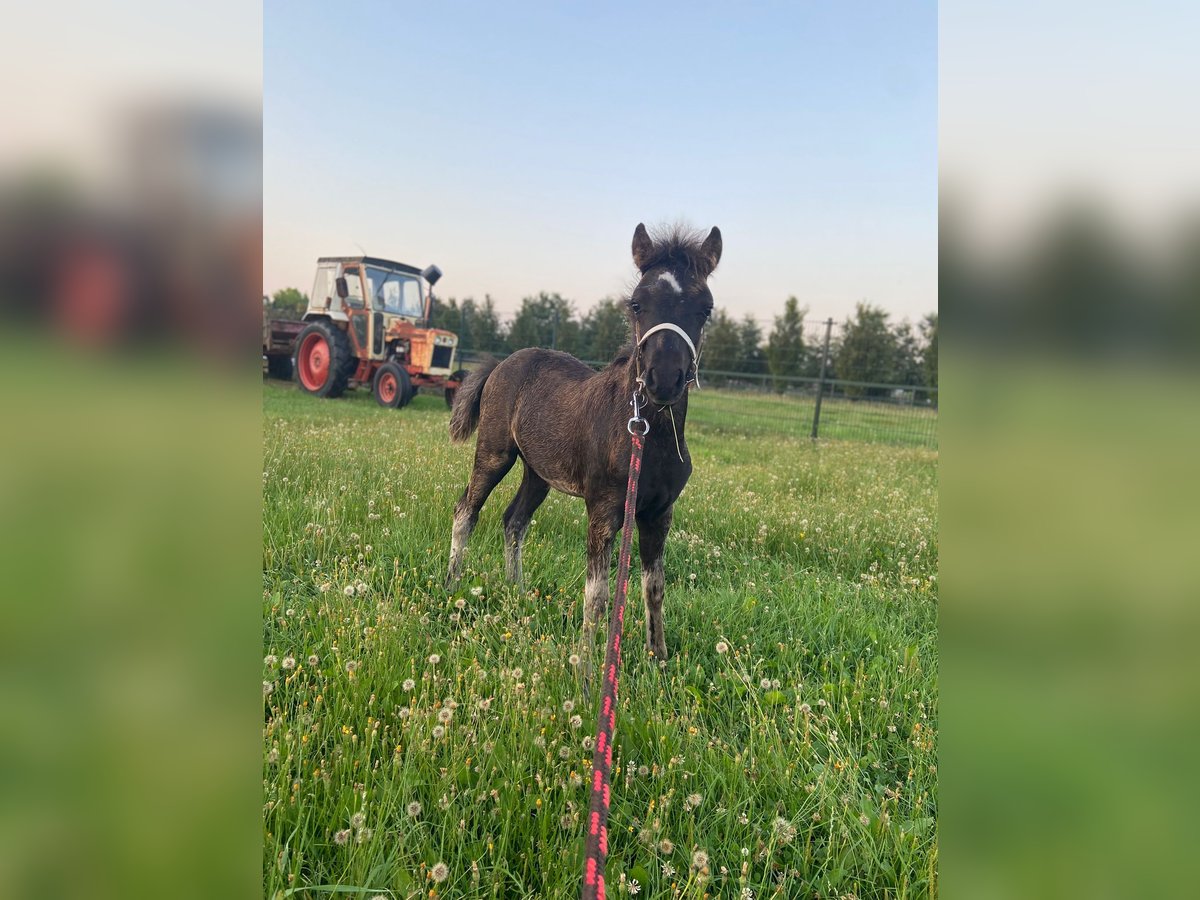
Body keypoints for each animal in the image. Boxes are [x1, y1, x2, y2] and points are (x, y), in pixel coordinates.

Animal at [444, 224, 715, 662]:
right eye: (637, 304)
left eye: (705, 308)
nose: (663, 379)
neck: (646, 434)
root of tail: (501, 363)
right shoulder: (603, 508)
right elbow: (598, 594)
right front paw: (586, 665)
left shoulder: (659, 513)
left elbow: (654, 586)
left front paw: (658, 658)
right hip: (495, 453)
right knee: (466, 509)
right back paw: (452, 583)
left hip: (538, 473)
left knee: (514, 520)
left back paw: (518, 590)